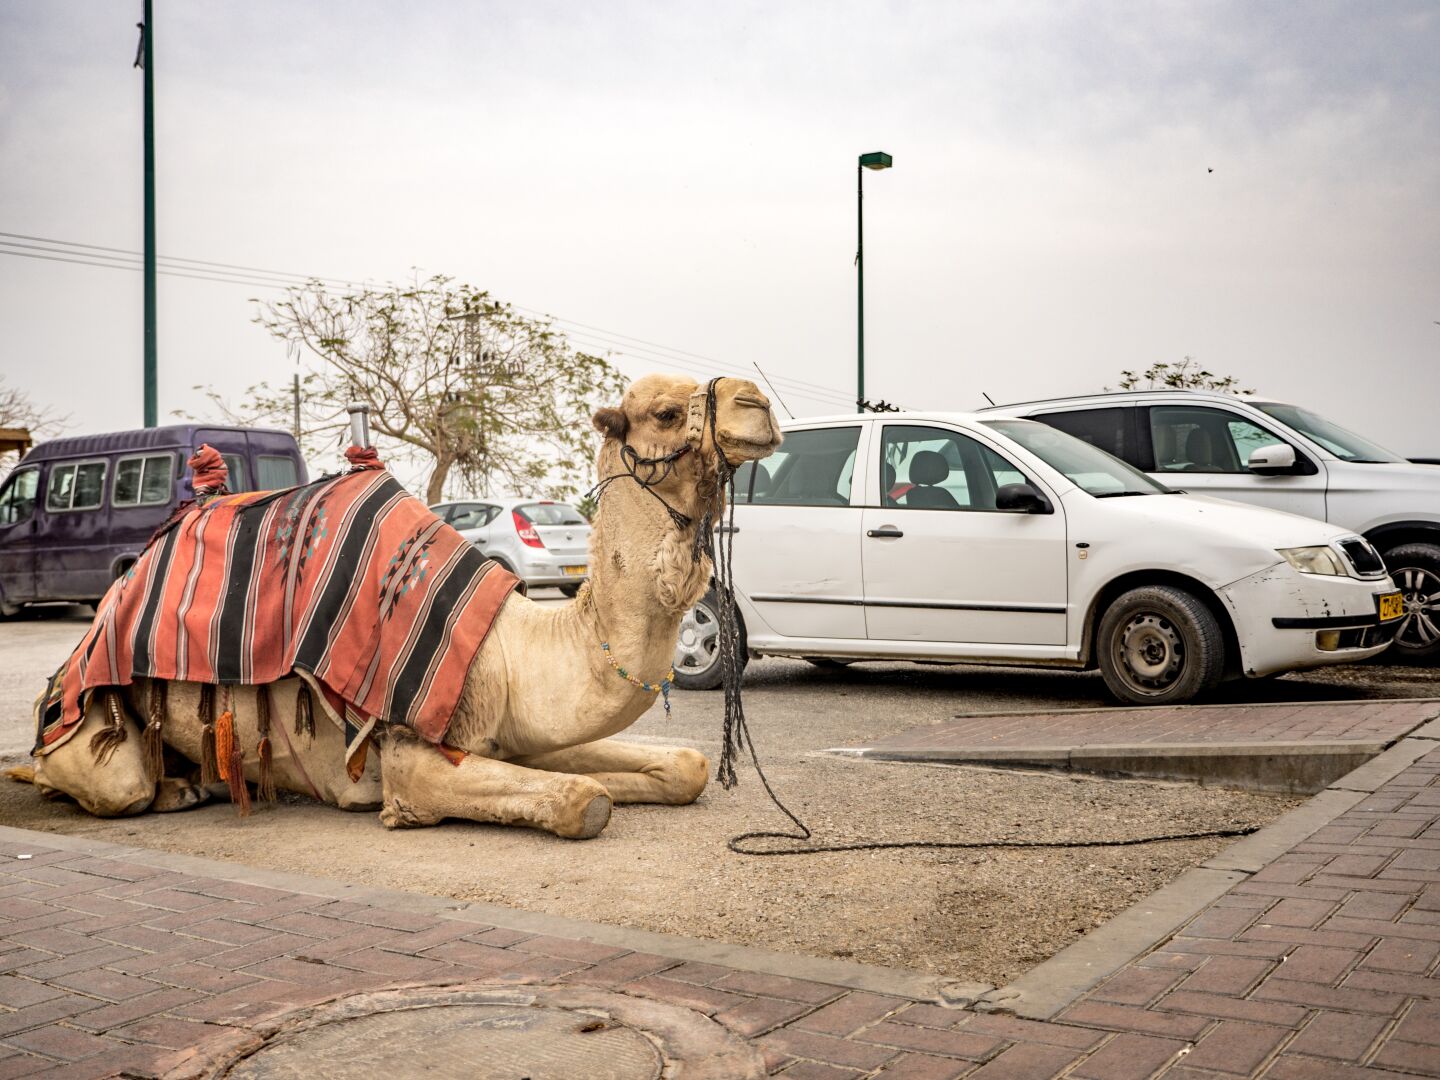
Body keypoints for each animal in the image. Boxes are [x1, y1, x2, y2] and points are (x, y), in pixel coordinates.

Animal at [21, 374, 781, 839]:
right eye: (665, 412)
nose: (758, 402)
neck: (516, 646)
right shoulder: (413, 753)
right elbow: (581, 800)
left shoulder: (514, 731)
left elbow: (682, 766)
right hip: (96, 722)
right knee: (104, 781)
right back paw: (153, 787)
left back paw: (193, 782)